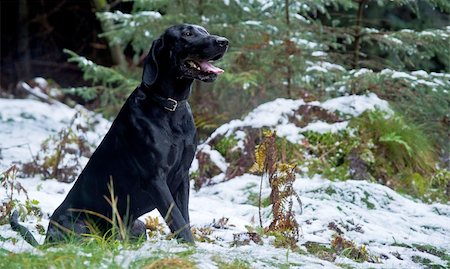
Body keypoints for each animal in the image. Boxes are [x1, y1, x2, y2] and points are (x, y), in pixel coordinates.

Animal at [11, 24, 229, 244]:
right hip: (80, 226)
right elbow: (176, 219)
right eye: (187, 34)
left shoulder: (183, 175)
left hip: (138, 227)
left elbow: (184, 219)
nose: (224, 41)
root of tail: (46, 238)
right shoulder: (155, 179)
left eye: (204, 31)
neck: (170, 107)